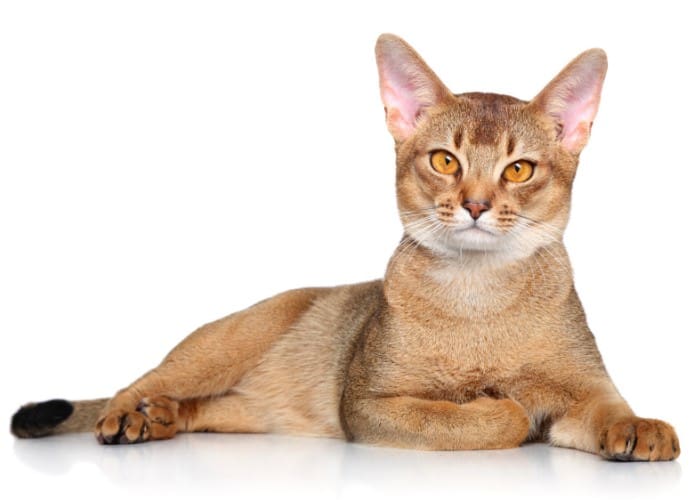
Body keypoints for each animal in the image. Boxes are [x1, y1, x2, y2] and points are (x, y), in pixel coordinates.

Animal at [10, 32, 680, 460]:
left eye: (519, 170)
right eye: (445, 160)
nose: (476, 205)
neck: (479, 296)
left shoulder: (587, 388)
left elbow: (608, 410)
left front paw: (642, 428)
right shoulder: (367, 403)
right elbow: (500, 417)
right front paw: (505, 404)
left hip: (242, 410)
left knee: (200, 408)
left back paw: (162, 420)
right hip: (224, 342)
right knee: (141, 381)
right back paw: (128, 416)